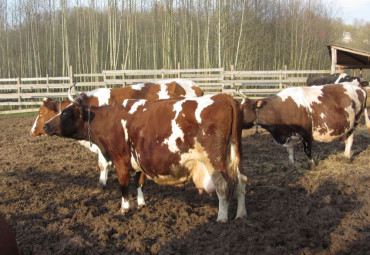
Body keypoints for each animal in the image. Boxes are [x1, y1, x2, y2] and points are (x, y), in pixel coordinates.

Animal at [42, 88, 249, 222]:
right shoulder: (138, 158)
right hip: (236, 156)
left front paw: (124, 208)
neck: (110, 119)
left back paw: (222, 217)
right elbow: (139, 182)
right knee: (241, 182)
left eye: (65, 113)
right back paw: (240, 214)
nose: (45, 126)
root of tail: (224, 98)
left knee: (223, 185)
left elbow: (124, 185)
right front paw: (140, 204)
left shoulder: (121, 159)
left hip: (214, 161)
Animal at [238, 83, 368, 167]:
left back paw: (346, 157)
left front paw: (312, 165)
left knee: (350, 140)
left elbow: (307, 150)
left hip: (355, 122)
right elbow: (290, 151)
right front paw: (291, 165)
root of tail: (358, 87)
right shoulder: (288, 135)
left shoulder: (306, 133)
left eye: (243, 109)